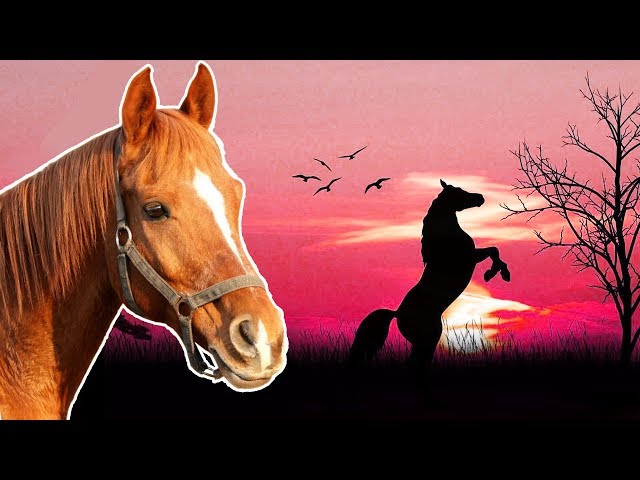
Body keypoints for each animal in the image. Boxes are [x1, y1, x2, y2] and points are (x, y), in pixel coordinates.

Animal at [348, 179, 510, 374]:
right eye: (459, 192)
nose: (480, 197)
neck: (445, 236)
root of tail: (397, 313)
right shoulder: (470, 257)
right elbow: (494, 251)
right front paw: (496, 274)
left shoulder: (473, 256)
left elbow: (494, 250)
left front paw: (496, 273)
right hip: (428, 339)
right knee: (414, 362)